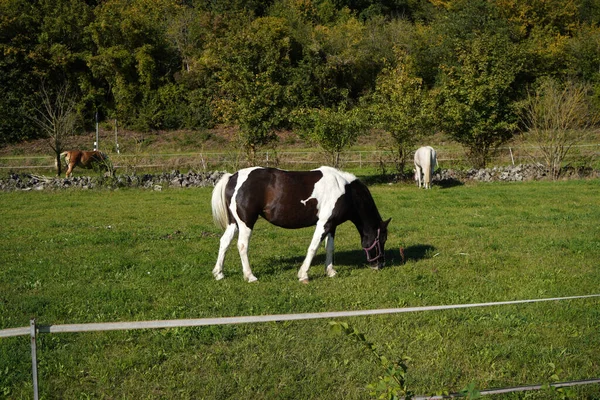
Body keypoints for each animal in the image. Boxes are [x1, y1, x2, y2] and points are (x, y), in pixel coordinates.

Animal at [212, 167, 394, 282]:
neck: (346, 192)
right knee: (242, 245)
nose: (380, 264)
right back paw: (250, 276)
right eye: (381, 239)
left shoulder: (332, 225)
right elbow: (313, 247)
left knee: (224, 242)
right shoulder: (323, 223)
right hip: (246, 222)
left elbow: (329, 247)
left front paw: (330, 271)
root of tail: (233, 177)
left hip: (234, 223)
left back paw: (219, 273)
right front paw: (303, 274)